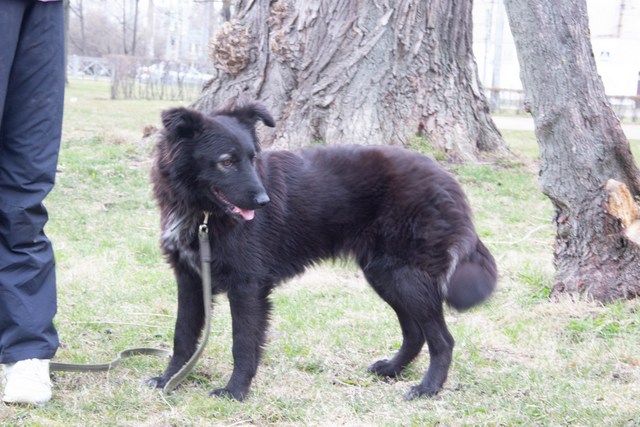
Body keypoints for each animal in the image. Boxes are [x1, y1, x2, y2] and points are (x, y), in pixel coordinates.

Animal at [148, 101, 497, 401]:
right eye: (227, 161)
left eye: (251, 157)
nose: (264, 202)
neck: (203, 215)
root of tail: (447, 180)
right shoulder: (190, 279)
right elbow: (182, 336)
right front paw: (169, 380)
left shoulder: (247, 286)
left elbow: (243, 343)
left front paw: (235, 391)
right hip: (386, 275)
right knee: (415, 332)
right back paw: (393, 369)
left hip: (404, 276)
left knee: (442, 340)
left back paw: (428, 388)